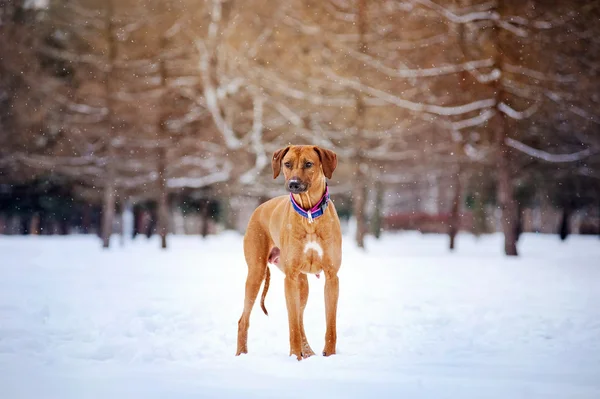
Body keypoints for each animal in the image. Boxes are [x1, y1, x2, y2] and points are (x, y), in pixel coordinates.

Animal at [237, 145, 344, 360]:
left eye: (309, 164)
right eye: (287, 164)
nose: (293, 184)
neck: (309, 213)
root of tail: (258, 208)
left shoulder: (332, 277)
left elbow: (330, 325)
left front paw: (329, 355)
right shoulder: (290, 278)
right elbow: (292, 325)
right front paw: (295, 357)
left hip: (302, 284)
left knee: (301, 318)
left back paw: (308, 353)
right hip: (257, 273)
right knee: (243, 320)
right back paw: (241, 355)